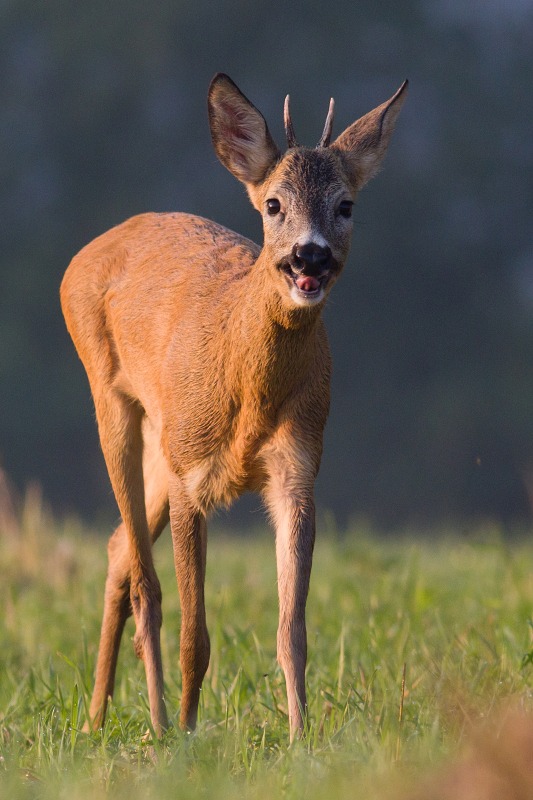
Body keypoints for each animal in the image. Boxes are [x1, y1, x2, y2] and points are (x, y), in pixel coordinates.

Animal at [60, 72, 406, 740]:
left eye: (346, 205)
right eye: (273, 205)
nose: (309, 256)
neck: (247, 395)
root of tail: (84, 255)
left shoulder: (297, 468)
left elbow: (292, 631)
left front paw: (300, 739)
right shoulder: (191, 475)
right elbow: (195, 635)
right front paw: (188, 737)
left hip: (164, 442)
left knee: (118, 549)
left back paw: (93, 719)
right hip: (112, 399)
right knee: (143, 581)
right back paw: (154, 724)